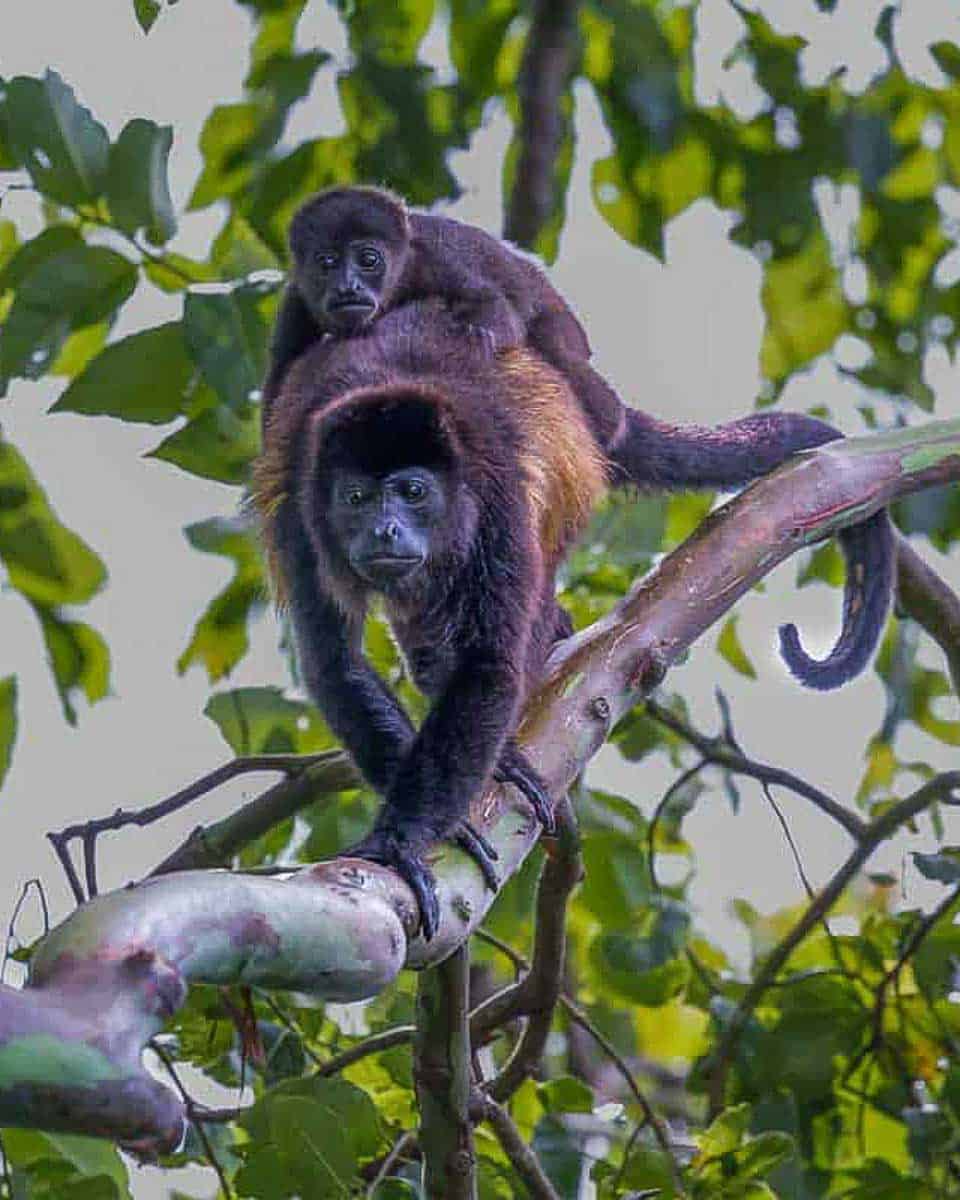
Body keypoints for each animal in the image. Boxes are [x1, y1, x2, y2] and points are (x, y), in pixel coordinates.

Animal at [253, 300, 893, 939]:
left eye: (412, 491)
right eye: (356, 498)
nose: (385, 530)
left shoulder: (495, 493)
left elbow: (489, 664)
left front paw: (400, 840)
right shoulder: (299, 510)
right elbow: (335, 662)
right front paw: (442, 825)